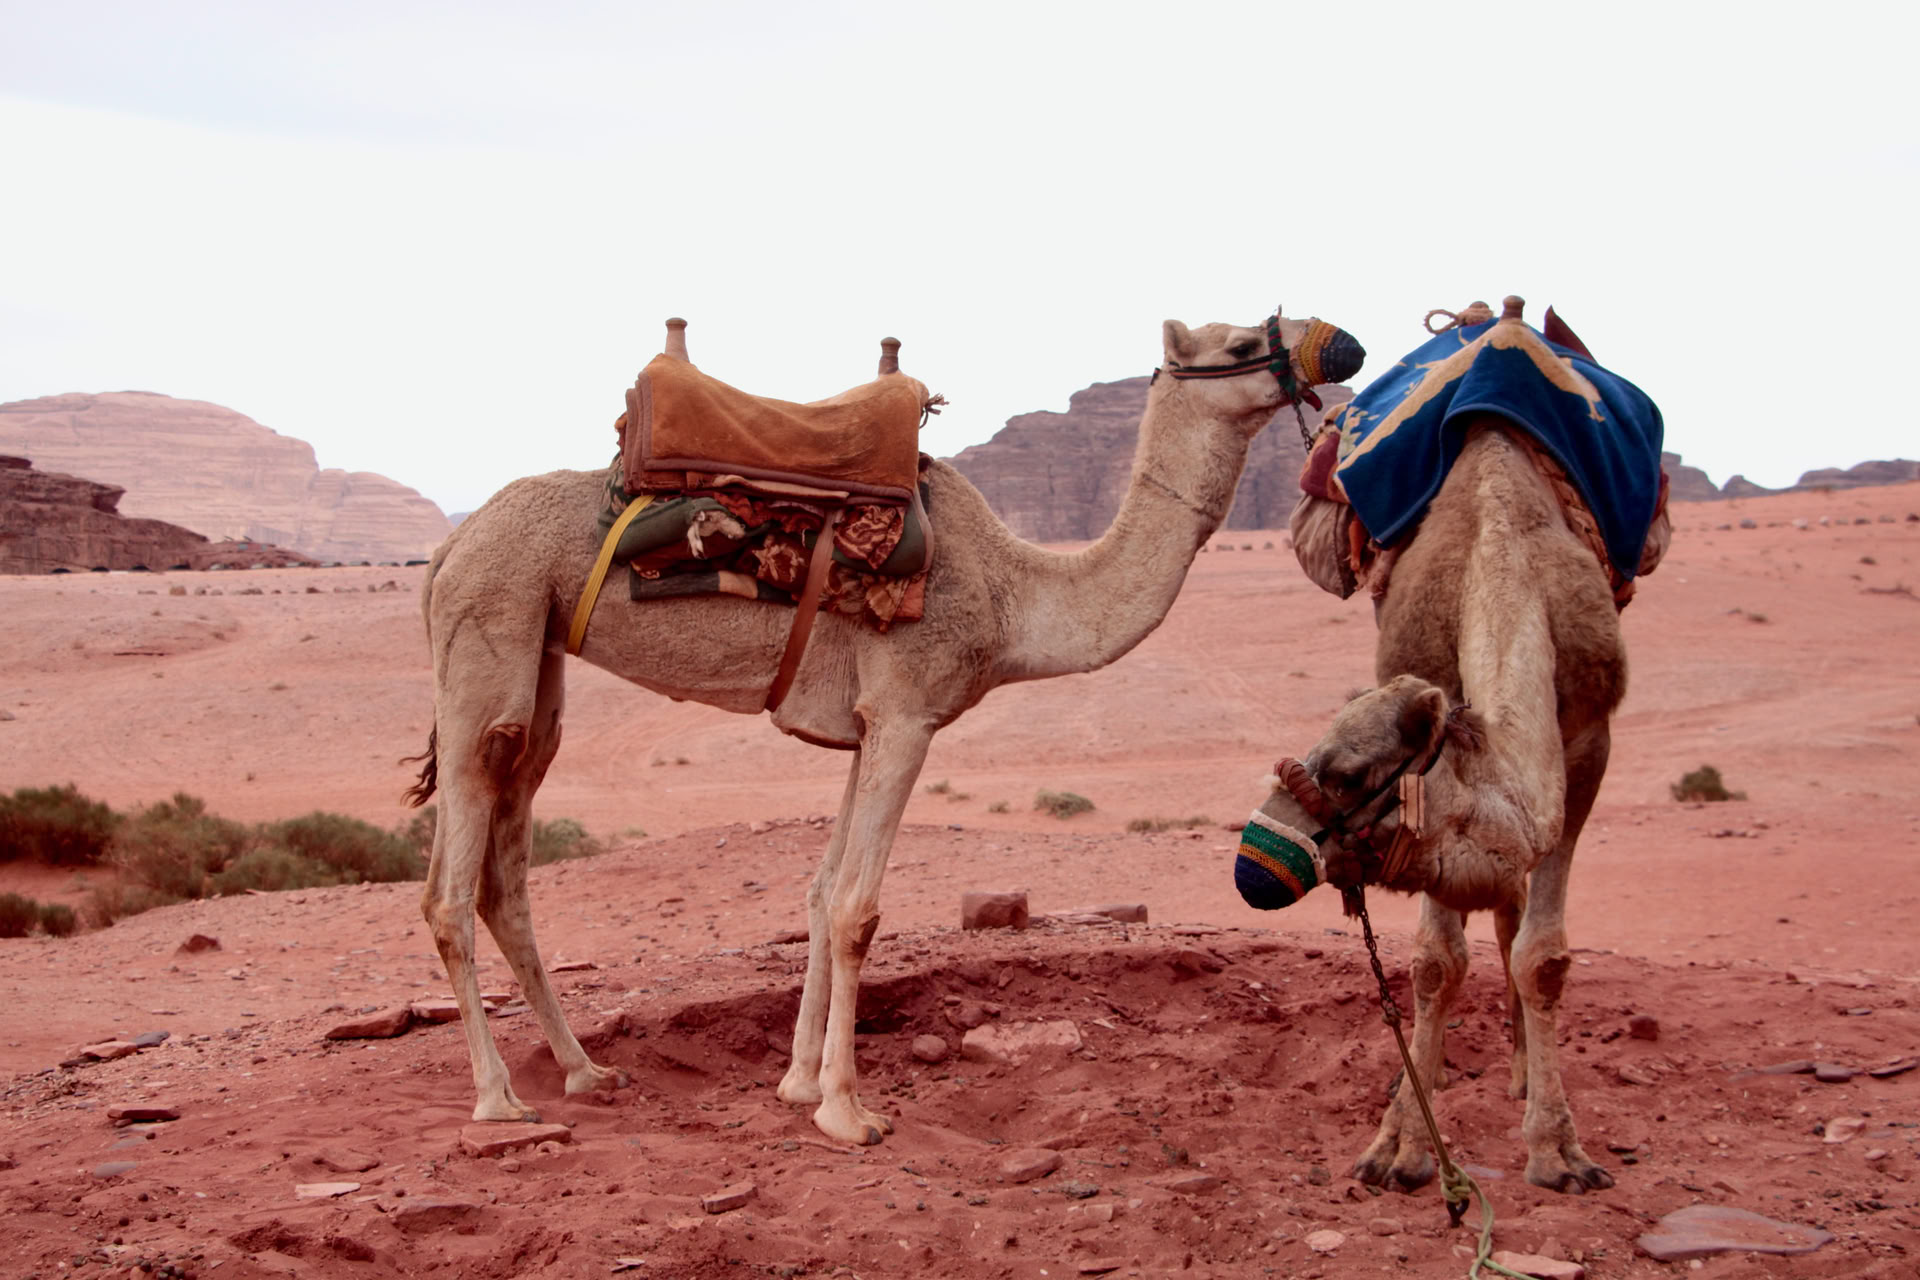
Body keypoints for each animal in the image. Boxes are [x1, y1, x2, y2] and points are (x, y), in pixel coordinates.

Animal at [407, 307, 1364, 1145]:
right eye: (1239, 342)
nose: (1343, 346)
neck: (1013, 597)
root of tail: (448, 548)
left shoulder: (863, 728)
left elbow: (821, 889)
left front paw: (798, 1082)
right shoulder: (908, 713)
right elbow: (857, 909)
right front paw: (847, 1111)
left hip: (538, 665)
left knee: (506, 874)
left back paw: (583, 1070)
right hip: (489, 635)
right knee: (450, 885)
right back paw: (498, 1099)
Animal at [1246, 344, 1650, 1193]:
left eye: (1351, 774)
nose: (1253, 860)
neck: (1502, 548)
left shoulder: (1589, 735)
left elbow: (1544, 954)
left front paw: (1558, 1151)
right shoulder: (1428, 670)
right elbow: (1437, 960)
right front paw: (1401, 1144)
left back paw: (1524, 1074)